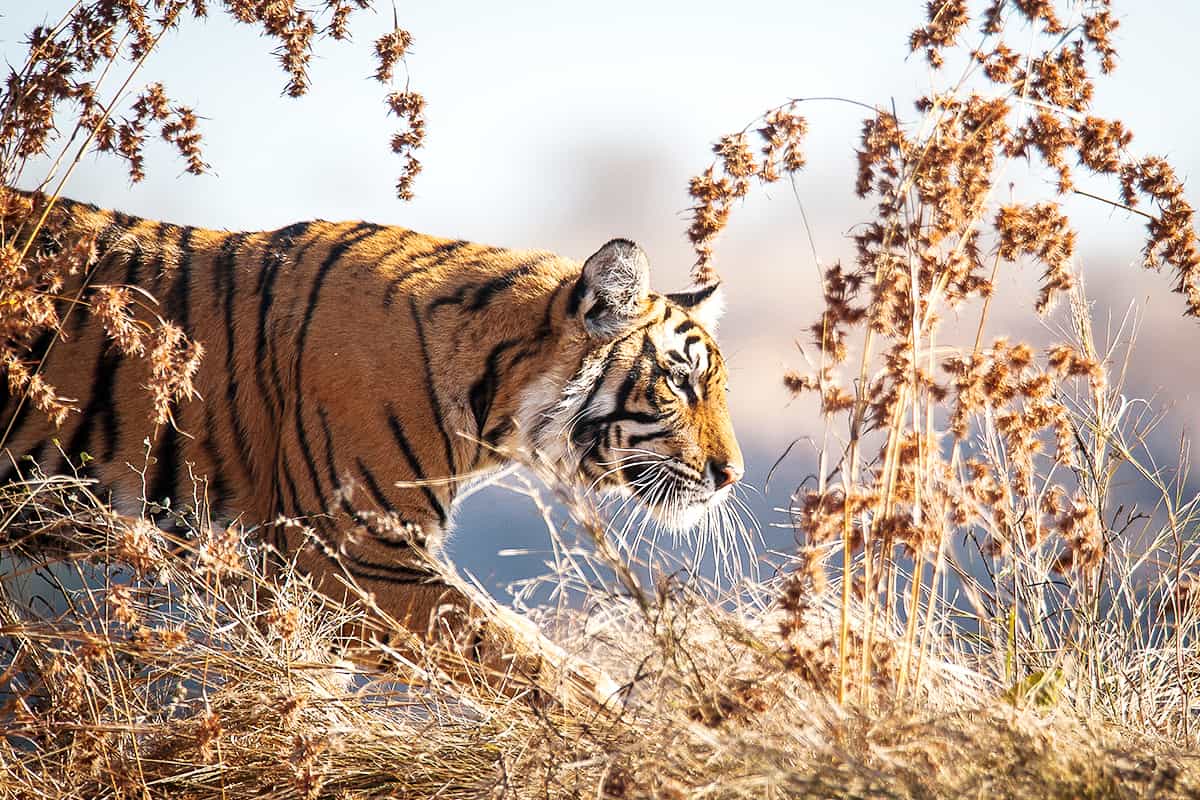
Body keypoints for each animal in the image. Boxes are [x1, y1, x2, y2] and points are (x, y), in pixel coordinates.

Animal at [0, 190, 744, 710]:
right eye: (679, 384)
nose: (731, 475)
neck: (494, 403)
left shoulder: (305, 583)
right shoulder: (354, 560)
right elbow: (512, 650)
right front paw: (627, 729)